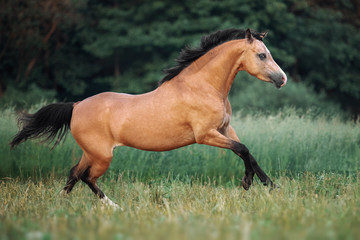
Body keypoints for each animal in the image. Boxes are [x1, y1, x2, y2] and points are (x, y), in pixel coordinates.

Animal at [10, 28, 286, 208]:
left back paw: (60, 205)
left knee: (74, 174)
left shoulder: (226, 129)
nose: (282, 79)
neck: (201, 87)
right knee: (87, 177)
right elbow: (243, 149)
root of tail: (76, 106)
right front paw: (249, 183)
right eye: (262, 55)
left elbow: (248, 153)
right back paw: (114, 207)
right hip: (102, 156)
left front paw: (269, 185)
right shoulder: (205, 135)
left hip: (90, 153)